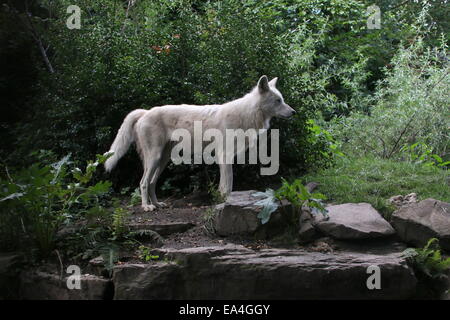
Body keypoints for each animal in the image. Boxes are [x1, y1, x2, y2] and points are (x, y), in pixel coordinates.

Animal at [104, 76, 296, 211]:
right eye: (278, 101)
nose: (294, 112)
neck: (247, 114)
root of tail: (145, 112)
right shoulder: (224, 157)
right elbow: (228, 185)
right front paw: (225, 202)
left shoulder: (227, 158)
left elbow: (224, 186)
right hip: (155, 158)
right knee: (143, 182)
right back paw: (147, 207)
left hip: (163, 160)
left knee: (151, 183)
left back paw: (158, 205)